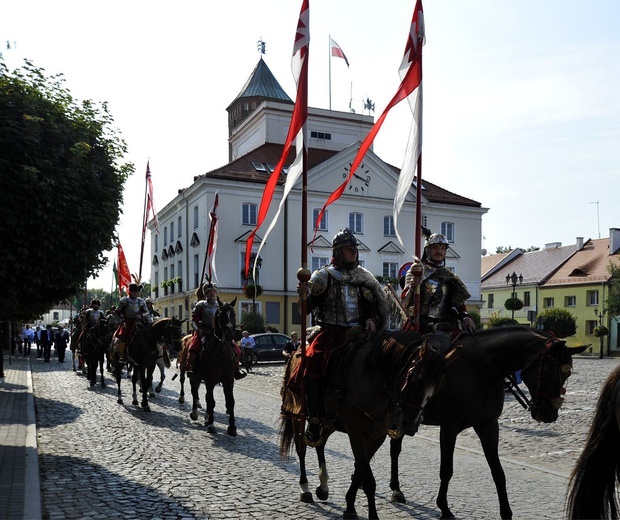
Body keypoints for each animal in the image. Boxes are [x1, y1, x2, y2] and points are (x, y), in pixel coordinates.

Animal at [188, 296, 239, 434]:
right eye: (220, 314)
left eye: (233, 314)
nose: (229, 336)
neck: (221, 354)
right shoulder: (210, 380)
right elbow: (211, 401)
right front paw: (211, 424)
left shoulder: (229, 380)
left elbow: (230, 401)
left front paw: (232, 427)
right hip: (194, 376)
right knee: (194, 391)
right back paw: (195, 413)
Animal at [280, 330, 446, 520]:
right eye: (415, 379)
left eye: (437, 388)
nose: (410, 425)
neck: (374, 379)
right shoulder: (357, 437)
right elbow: (368, 480)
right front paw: (369, 513)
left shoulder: (377, 437)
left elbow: (359, 472)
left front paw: (350, 505)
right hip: (296, 416)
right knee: (301, 449)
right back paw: (305, 488)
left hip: (328, 423)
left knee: (319, 443)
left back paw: (323, 486)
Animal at [390, 324, 588, 520]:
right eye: (547, 371)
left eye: (568, 374)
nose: (549, 414)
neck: (477, 370)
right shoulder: (448, 428)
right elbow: (446, 470)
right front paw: (444, 508)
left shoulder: (489, 427)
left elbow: (498, 472)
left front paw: (506, 512)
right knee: (395, 448)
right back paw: (396, 488)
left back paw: (395, 488)